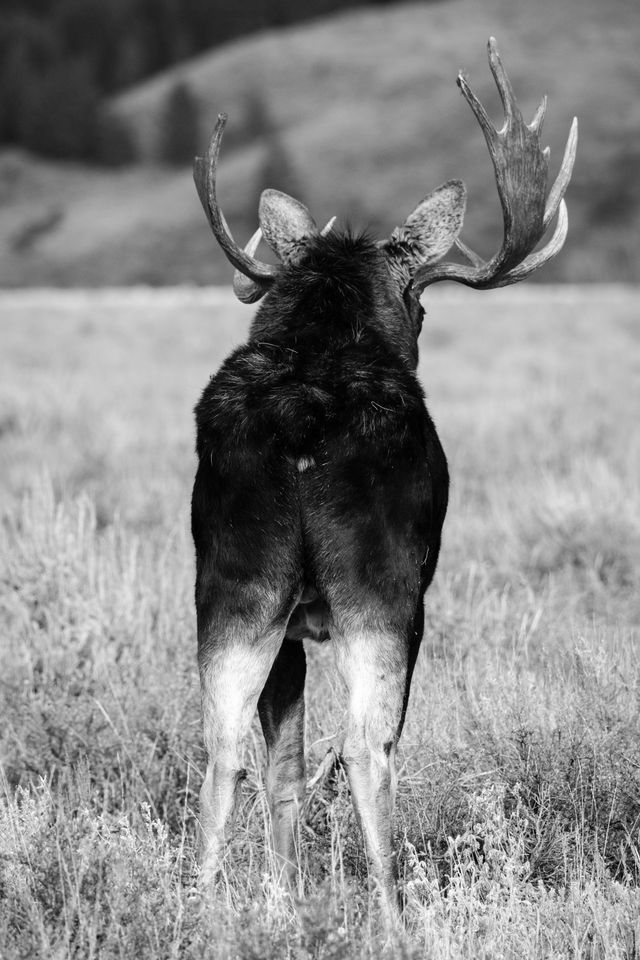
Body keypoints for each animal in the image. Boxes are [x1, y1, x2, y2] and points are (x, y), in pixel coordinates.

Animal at [191, 37, 580, 908]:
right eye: (422, 306)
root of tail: (301, 418)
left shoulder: (287, 624)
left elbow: (284, 763)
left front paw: (283, 899)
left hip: (236, 585)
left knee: (223, 753)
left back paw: (195, 907)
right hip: (384, 589)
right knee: (370, 751)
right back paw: (395, 912)